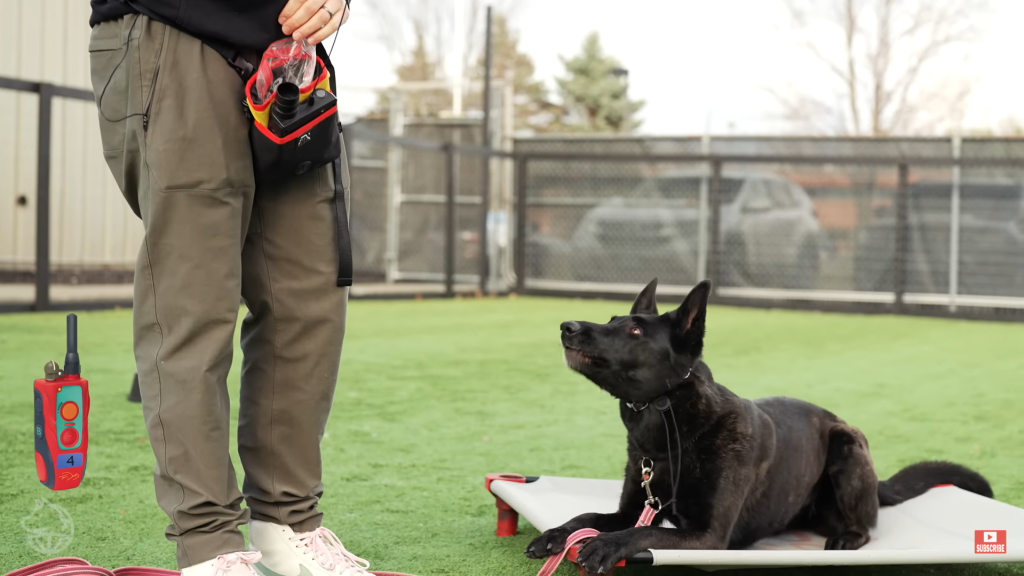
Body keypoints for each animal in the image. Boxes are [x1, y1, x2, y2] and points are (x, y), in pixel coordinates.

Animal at [528, 276, 991, 569]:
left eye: (637, 331)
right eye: (611, 321)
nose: (567, 326)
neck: (672, 437)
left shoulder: (708, 536)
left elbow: (638, 535)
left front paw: (606, 545)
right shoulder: (633, 509)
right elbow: (586, 516)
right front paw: (558, 533)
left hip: (846, 448)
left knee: (866, 527)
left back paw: (847, 537)